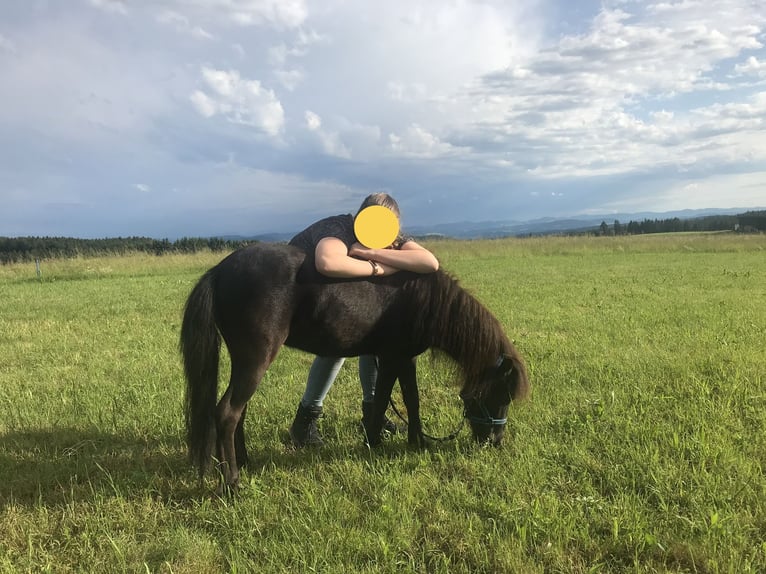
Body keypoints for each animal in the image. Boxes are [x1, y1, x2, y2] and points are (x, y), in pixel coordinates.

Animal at [182, 245, 528, 492]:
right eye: (502, 394)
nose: (495, 441)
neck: (420, 299)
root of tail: (220, 270)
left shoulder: (403, 359)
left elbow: (410, 400)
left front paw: (415, 442)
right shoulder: (392, 358)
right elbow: (385, 400)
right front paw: (375, 444)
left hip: (245, 362)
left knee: (237, 412)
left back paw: (243, 462)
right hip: (256, 359)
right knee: (228, 412)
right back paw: (232, 482)